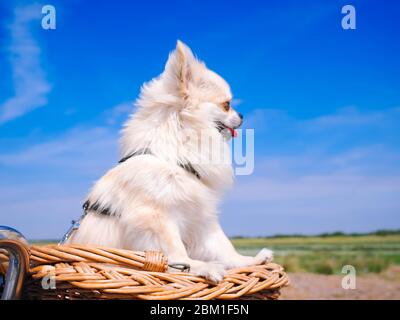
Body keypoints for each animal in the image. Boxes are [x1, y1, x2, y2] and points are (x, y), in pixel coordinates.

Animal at [67, 40, 274, 282]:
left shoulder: (200, 217)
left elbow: (222, 246)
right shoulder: (155, 219)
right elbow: (176, 254)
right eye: (226, 104)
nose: (242, 115)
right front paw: (203, 267)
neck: (175, 157)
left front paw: (248, 261)